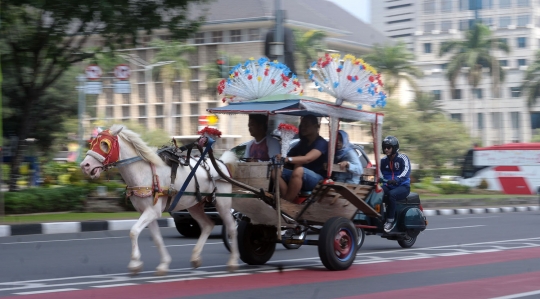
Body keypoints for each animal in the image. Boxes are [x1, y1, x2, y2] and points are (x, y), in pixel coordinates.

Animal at [78, 125, 238, 276]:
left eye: (104, 144)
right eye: (92, 143)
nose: (85, 166)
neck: (144, 172)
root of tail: (221, 164)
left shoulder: (153, 211)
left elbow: (133, 231)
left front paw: (135, 263)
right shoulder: (147, 212)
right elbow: (156, 238)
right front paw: (163, 265)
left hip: (222, 204)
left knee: (231, 226)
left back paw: (233, 261)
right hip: (194, 205)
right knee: (207, 225)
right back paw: (196, 258)